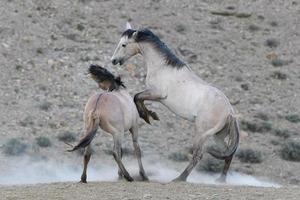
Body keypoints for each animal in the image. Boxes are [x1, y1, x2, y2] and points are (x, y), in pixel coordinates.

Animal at [110, 22, 239, 183]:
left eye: (124, 44)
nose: (113, 60)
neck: (162, 67)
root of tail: (229, 111)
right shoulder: (154, 94)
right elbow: (138, 97)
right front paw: (150, 115)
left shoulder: (157, 94)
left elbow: (137, 97)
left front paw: (148, 115)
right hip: (218, 136)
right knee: (228, 154)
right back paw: (220, 179)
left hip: (202, 133)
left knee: (198, 155)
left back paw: (180, 178)